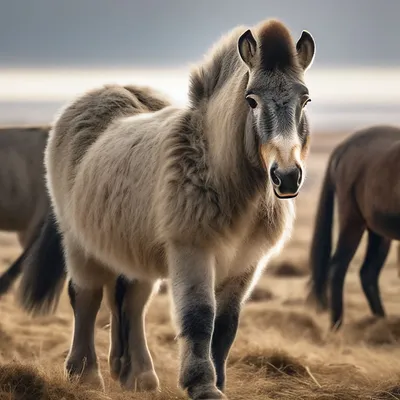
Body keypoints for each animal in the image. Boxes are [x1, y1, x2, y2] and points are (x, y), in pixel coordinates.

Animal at [308, 126, 400, 332]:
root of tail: (343, 147)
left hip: (378, 232)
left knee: (368, 274)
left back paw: (380, 322)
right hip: (352, 222)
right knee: (338, 267)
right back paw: (337, 327)